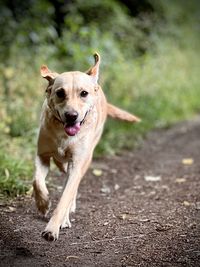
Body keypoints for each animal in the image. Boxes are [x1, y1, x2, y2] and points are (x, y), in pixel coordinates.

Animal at [32, 53, 140, 242]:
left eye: (83, 93)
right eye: (60, 93)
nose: (71, 116)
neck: (64, 135)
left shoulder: (76, 164)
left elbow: (65, 198)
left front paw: (52, 228)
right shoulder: (42, 155)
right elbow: (37, 181)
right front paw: (43, 203)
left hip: (85, 160)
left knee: (71, 189)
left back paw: (65, 217)